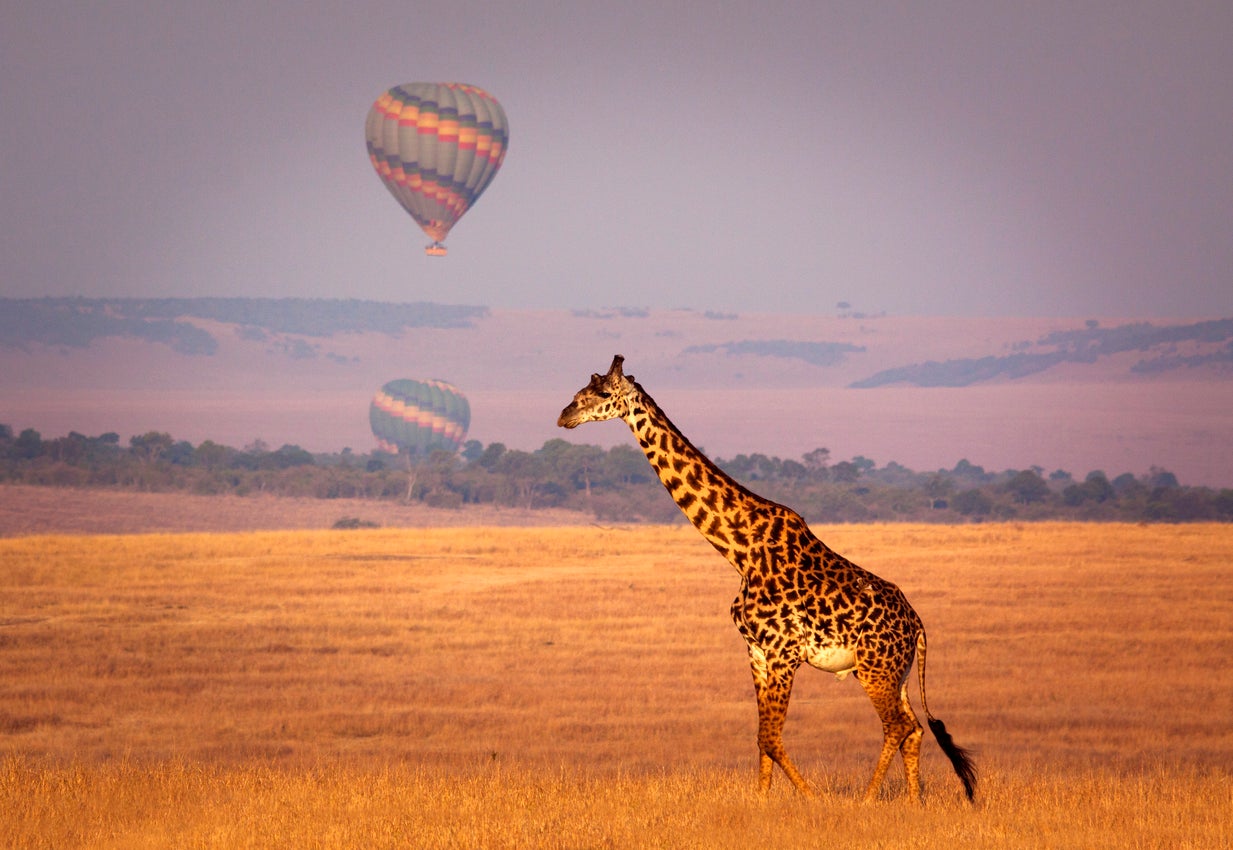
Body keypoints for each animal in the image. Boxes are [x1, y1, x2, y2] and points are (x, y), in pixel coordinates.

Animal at [557, 352, 971, 804]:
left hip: (874, 668)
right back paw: (914, 801)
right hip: (896, 672)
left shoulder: (783, 651)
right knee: (914, 729)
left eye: (601, 392)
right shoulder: (755, 650)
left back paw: (865, 800)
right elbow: (761, 738)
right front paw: (761, 801)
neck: (740, 550)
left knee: (897, 725)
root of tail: (918, 625)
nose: (564, 415)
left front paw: (812, 799)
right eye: (582, 388)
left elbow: (772, 737)